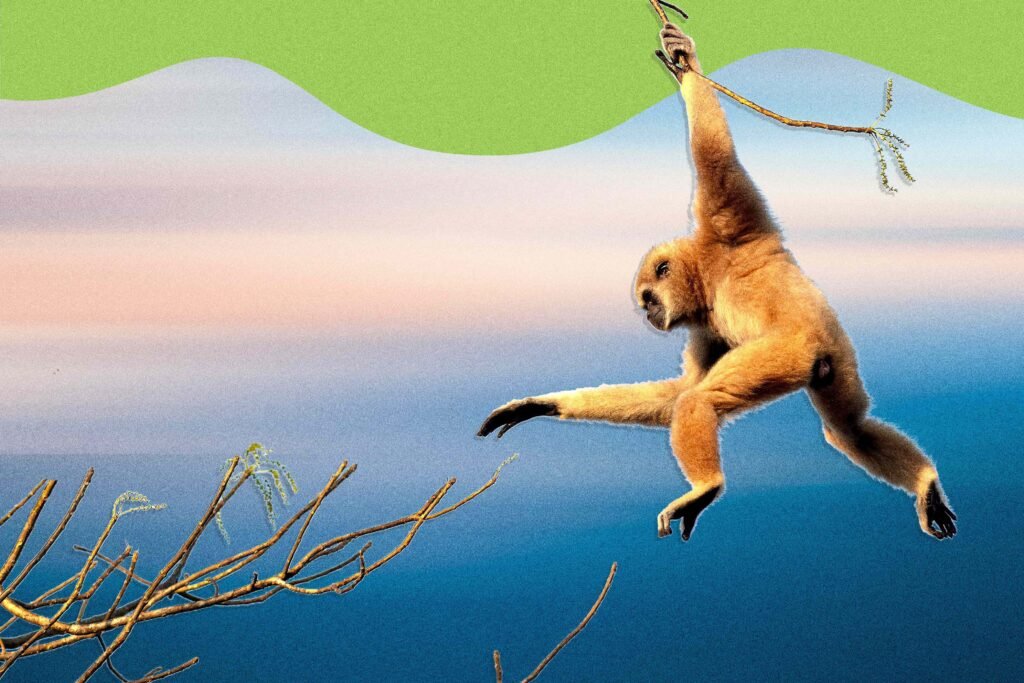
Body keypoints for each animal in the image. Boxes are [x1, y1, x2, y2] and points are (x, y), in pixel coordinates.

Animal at [478, 24, 957, 542]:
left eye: (648, 298)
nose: (651, 315)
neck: (707, 270)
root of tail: (821, 347)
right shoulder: (706, 326)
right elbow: (673, 394)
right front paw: (540, 405)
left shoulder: (726, 222)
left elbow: (715, 157)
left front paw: (687, 67)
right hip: (837, 362)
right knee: (849, 428)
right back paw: (925, 483)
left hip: (787, 353)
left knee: (705, 400)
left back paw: (706, 486)